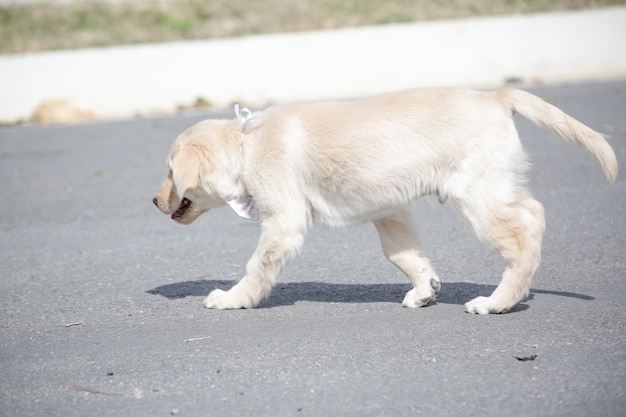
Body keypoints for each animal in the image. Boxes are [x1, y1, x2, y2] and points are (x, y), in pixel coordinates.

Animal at [152, 88, 616, 316]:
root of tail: (497, 96)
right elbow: (403, 254)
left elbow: (257, 267)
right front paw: (425, 289)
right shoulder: (390, 212)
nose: (154, 201)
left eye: (171, 172)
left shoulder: (283, 223)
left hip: (475, 195)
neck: (248, 142)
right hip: (494, 185)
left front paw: (233, 299)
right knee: (534, 214)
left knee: (521, 238)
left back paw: (497, 302)